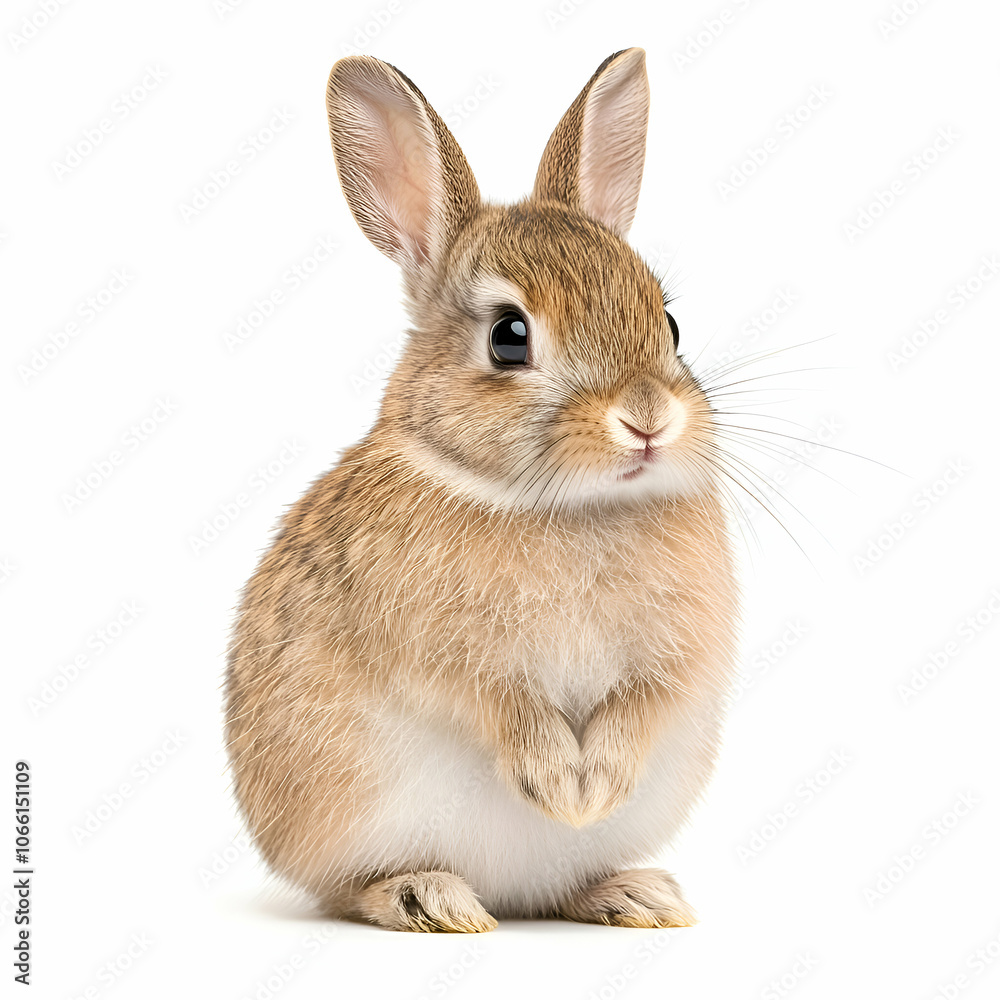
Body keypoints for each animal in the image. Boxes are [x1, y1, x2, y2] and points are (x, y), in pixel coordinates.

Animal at [225, 46, 740, 933]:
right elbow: (500, 704)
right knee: (351, 887)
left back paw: (632, 893)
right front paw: (558, 786)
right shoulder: (445, 661)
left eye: (669, 325)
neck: (568, 506)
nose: (647, 419)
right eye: (508, 337)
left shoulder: (678, 663)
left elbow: (643, 705)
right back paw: (429, 897)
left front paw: (589, 792)